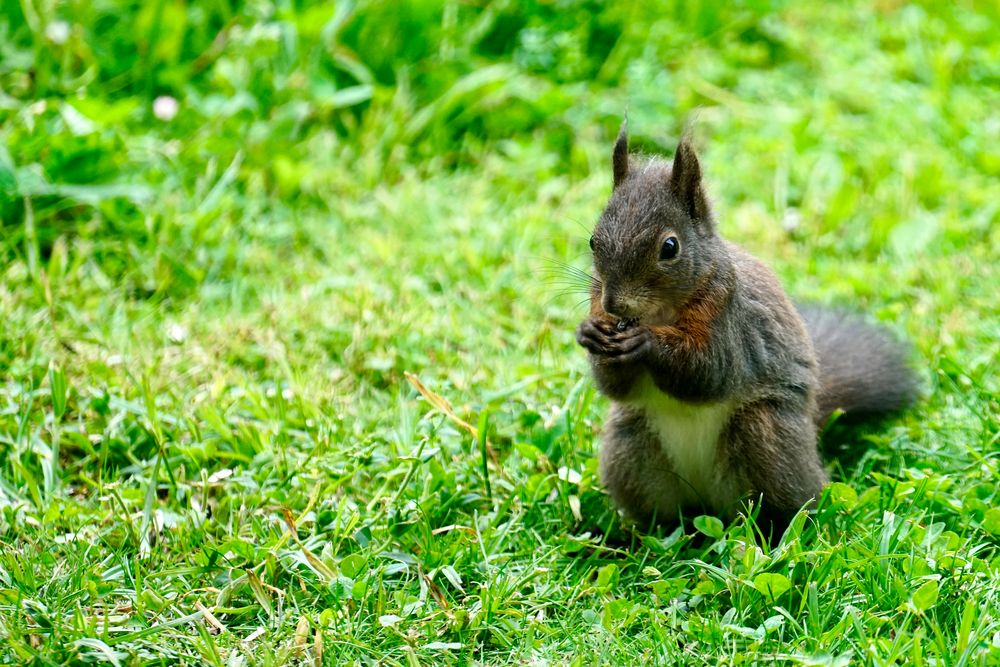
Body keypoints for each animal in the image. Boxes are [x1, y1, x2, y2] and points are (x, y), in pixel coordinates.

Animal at [576, 122, 916, 536]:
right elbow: (615, 387)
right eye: (594, 240)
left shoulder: (730, 320)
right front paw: (589, 333)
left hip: (765, 438)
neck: (659, 314)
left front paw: (648, 343)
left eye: (670, 247)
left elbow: (708, 373)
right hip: (630, 447)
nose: (613, 305)